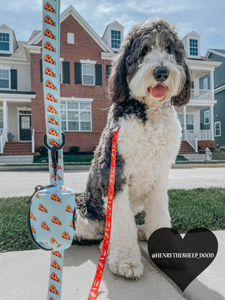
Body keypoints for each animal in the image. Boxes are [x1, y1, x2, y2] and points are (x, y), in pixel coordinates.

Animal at [73, 17, 190, 278]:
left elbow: (160, 214)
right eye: (144, 50)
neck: (148, 113)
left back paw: (142, 231)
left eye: (170, 49)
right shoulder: (115, 174)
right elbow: (121, 223)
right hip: (81, 211)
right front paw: (126, 262)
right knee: (98, 233)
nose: (161, 72)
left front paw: (166, 253)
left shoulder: (160, 177)